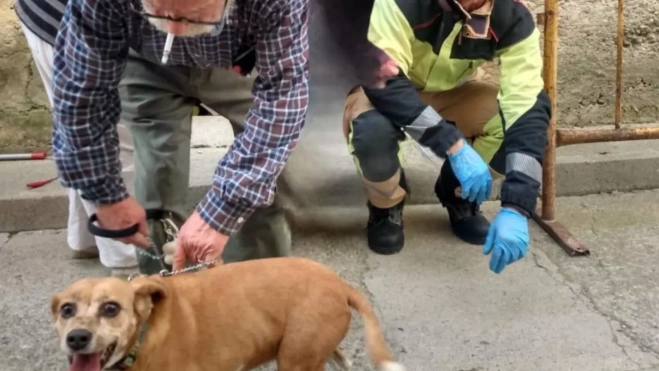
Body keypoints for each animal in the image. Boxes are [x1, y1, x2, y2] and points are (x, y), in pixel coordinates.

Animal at [50, 258, 408, 370]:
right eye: (66, 309)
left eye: (111, 308)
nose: (77, 338)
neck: (145, 332)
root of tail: (338, 282)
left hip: (294, 361)